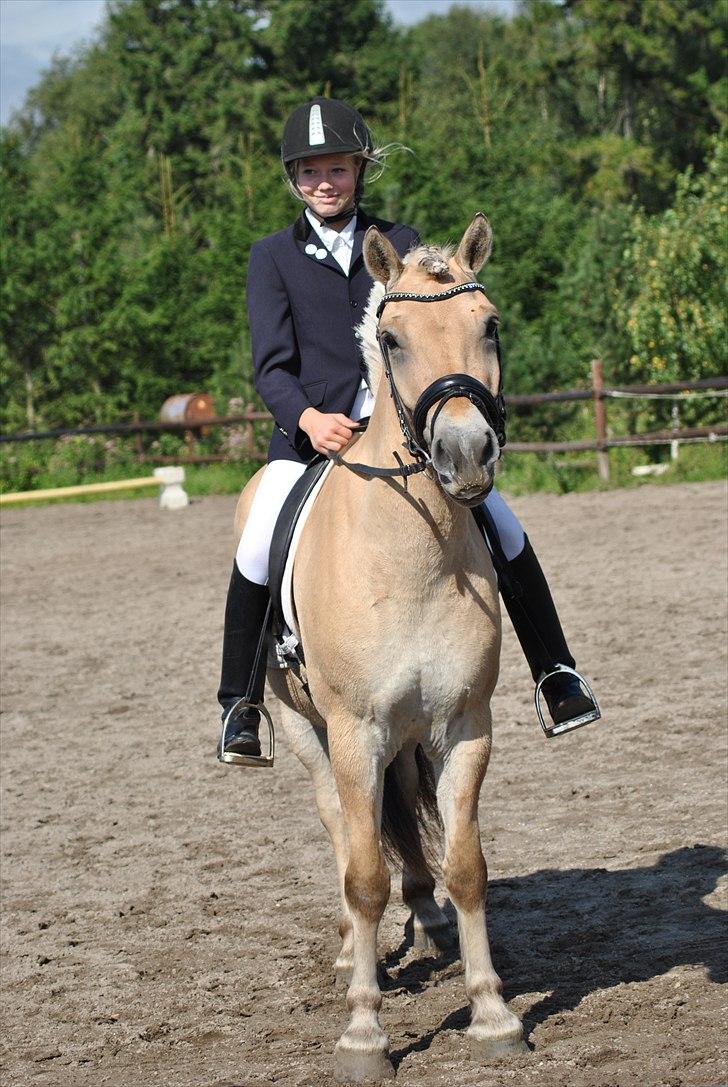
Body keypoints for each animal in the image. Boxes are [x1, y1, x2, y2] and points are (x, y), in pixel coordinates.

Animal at [236, 211, 528, 1078]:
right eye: (391, 338)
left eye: (489, 324)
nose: (466, 455)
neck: (412, 554)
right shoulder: (355, 730)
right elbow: (365, 873)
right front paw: (364, 1029)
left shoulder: (465, 724)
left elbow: (468, 864)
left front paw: (491, 1009)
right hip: (305, 731)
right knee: (341, 826)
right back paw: (347, 951)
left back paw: (425, 918)